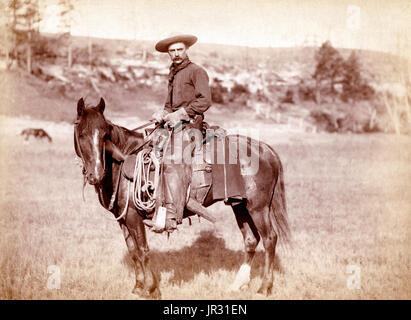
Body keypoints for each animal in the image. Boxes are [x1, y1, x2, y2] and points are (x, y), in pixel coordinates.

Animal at [75, 98, 290, 300]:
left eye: (105, 134)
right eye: (82, 134)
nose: (96, 174)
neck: (122, 162)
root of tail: (265, 149)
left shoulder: (133, 216)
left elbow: (143, 251)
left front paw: (151, 288)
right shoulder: (122, 218)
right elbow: (133, 252)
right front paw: (137, 287)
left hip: (258, 207)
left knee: (269, 239)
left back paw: (264, 288)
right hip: (240, 205)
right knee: (251, 240)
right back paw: (238, 284)